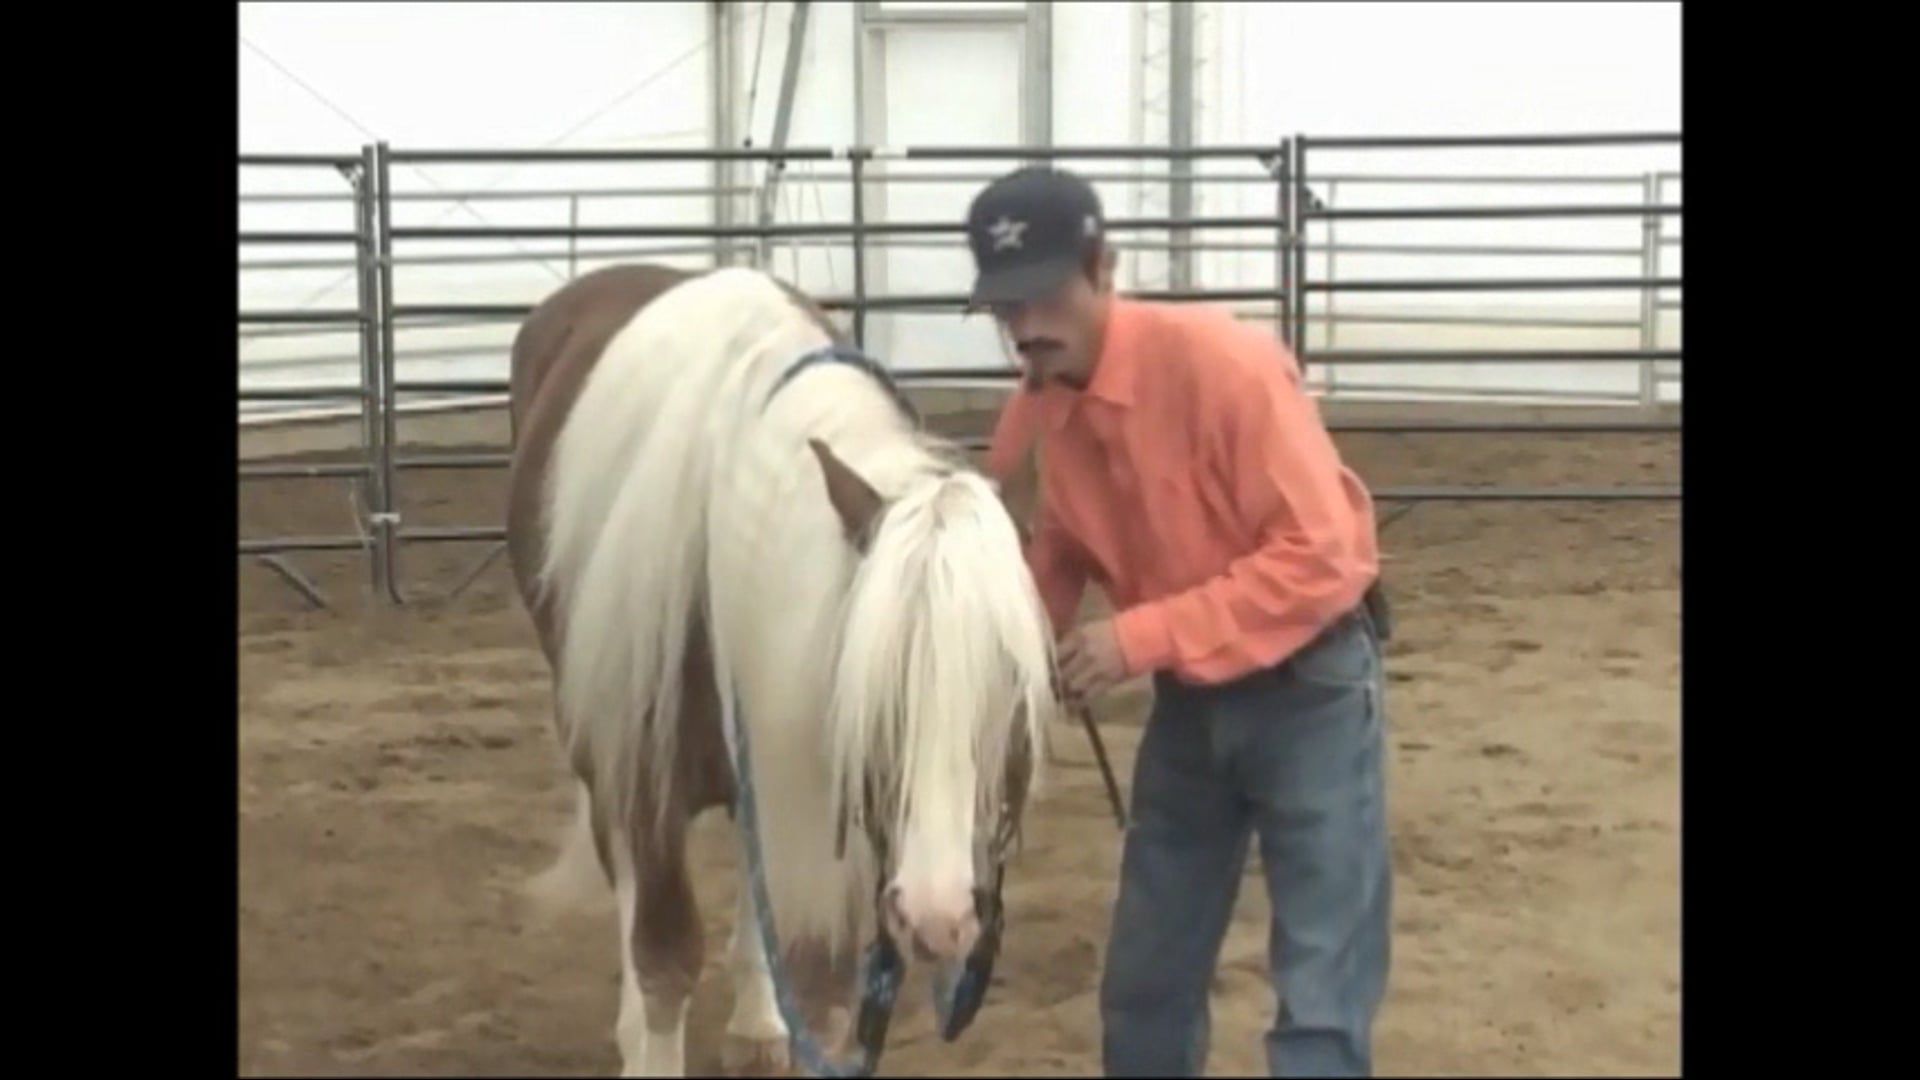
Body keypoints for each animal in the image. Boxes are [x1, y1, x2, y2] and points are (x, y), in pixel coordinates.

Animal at [502, 262, 1060, 1077]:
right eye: (877, 695)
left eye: (1011, 697)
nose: (940, 918)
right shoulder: (643, 776)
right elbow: (663, 956)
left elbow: (821, 987)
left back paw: (756, 1022)